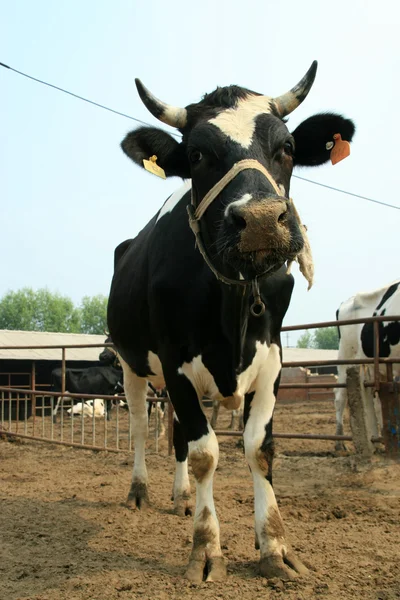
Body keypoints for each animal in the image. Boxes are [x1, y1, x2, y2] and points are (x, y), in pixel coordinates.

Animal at [108, 63, 354, 584]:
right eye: (196, 154)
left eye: (287, 147)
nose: (260, 219)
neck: (234, 301)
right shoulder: (176, 362)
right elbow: (206, 453)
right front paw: (206, 548)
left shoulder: (273, 360)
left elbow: (259, 448)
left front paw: (274, 547)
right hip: (131, 364)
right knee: (140, 427)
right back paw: (140, 491)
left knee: (178, 434)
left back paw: (181, 497)